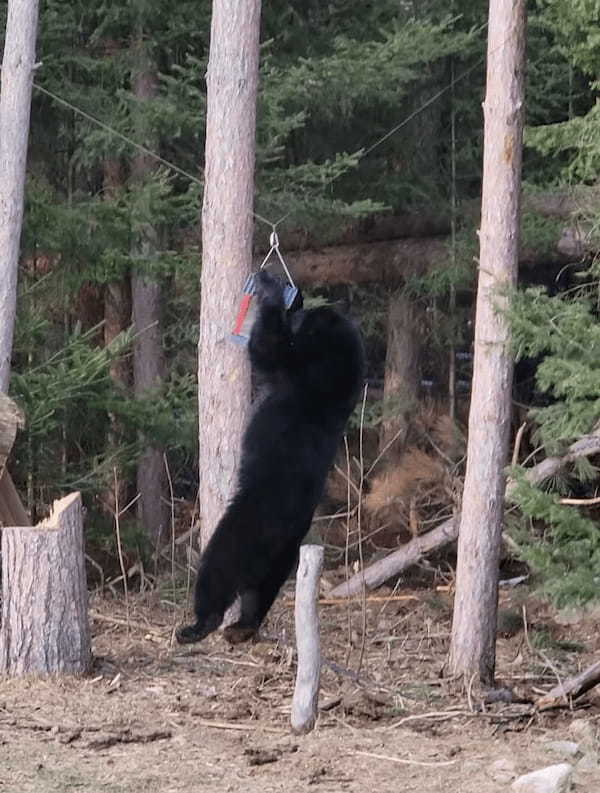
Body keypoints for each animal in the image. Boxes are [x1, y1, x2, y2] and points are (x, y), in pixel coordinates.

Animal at [177, 270, 366, 644]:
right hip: (282, 558)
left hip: (244, 530)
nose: (303, 306)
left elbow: (266, 349)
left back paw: (198, 625)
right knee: (260, 592)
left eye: (309, 317)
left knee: (218, 572)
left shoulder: (300, 375)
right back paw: (243, 626)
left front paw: (271, 288)